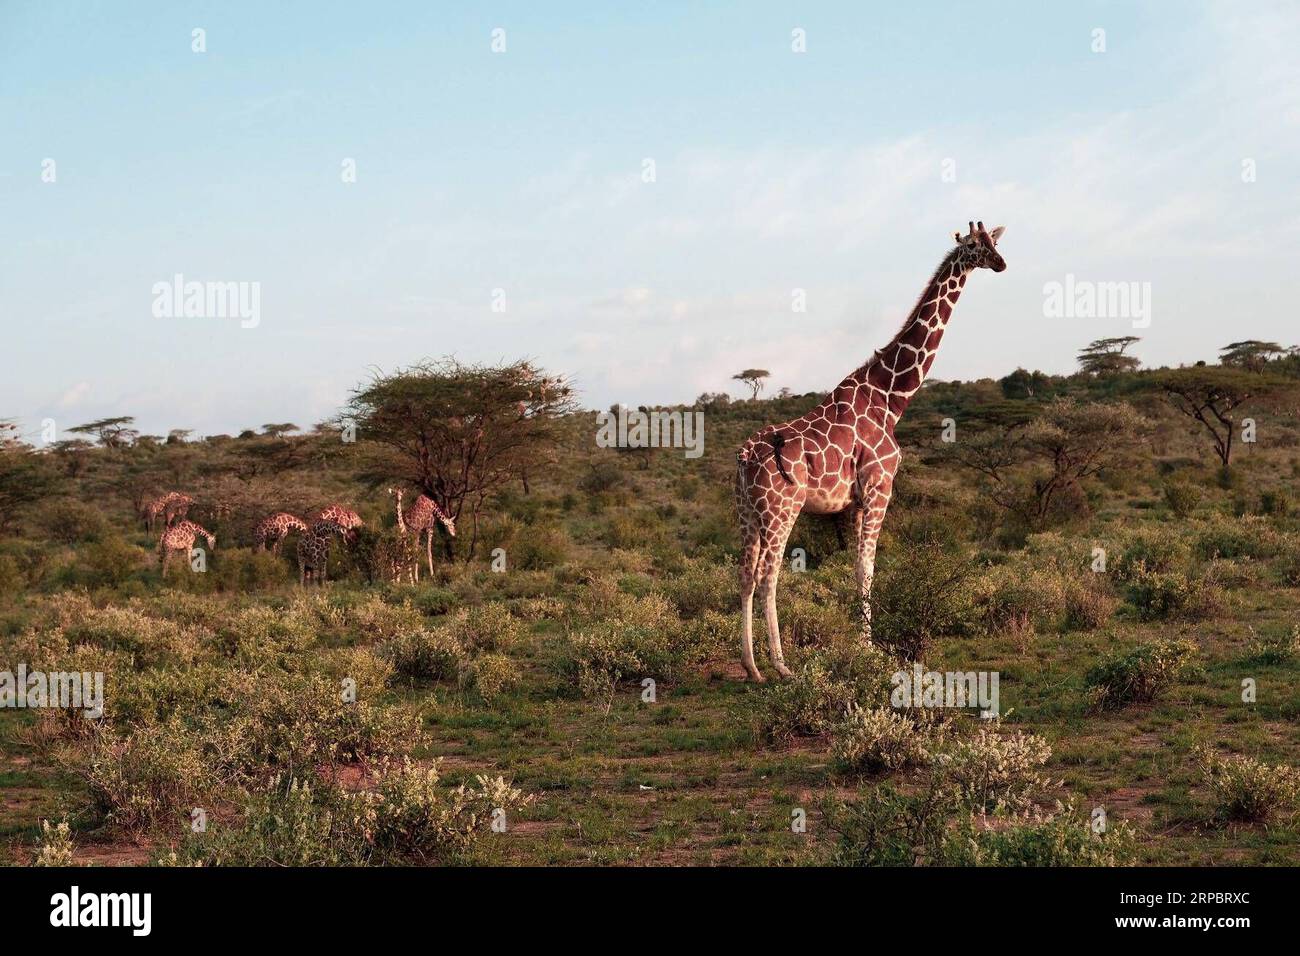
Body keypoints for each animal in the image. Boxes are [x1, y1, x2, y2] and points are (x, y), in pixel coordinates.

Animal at [733, 221, 1003, 686]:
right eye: (973, 246)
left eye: (994, 243)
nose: (1000, 263)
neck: (891, 397)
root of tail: (747, 457)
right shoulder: (880, 487)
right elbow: (870, 567)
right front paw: (869, 648)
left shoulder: (856, 501)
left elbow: (858, 568)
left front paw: (862, 643)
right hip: (781, 510)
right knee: (768, 575)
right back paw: (782, 665)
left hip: (748, 513)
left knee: (746, 574)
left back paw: (752, 667)